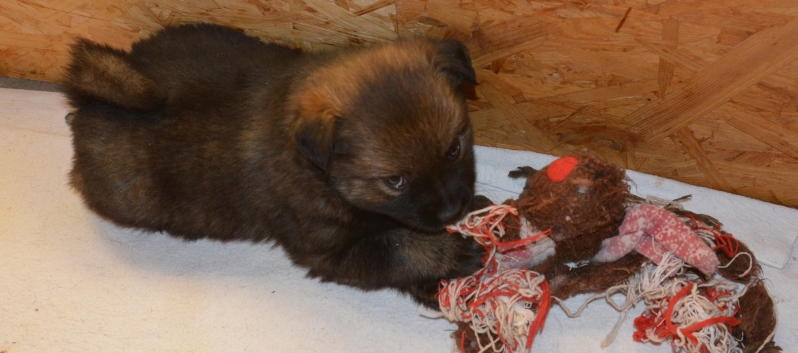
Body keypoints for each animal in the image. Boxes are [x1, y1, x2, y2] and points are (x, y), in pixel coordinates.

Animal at [59, 23, 484, 306]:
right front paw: (447, 255)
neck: (321, 174)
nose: (453, 210)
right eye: (395, 180)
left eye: (454, 149)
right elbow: (396, 247)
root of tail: (90, 103)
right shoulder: (328, 250)